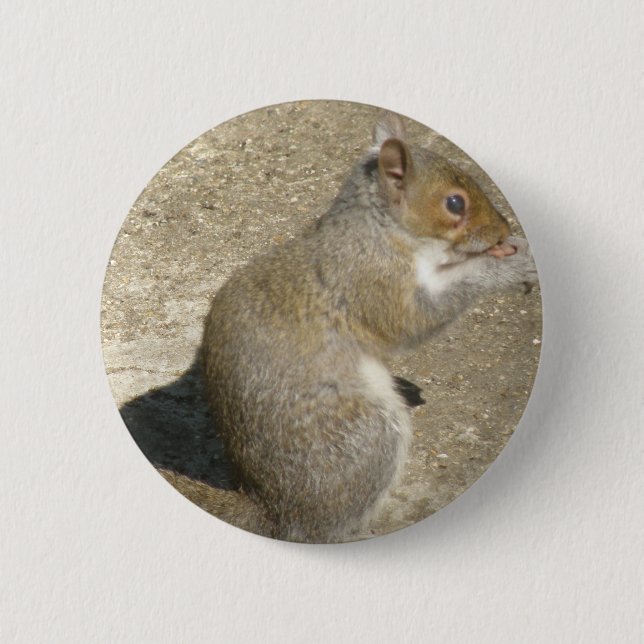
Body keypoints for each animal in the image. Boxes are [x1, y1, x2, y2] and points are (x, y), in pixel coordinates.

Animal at [171, 112, 537, 543]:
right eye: (454, 202)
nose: (502, 231)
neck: (377, 230)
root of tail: (270, 508)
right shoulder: (373, 282)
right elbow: (416, 319)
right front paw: (506, 267)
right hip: (365, 434)